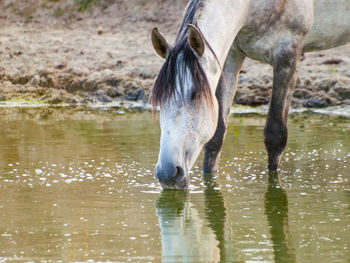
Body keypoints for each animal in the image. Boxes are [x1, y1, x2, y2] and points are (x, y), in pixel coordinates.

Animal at [150, 0, 350, 190]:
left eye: (195, 95)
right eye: (160, 100)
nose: (167, 173)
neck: (252, 7)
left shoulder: (287, 55)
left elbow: (275, 136)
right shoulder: (231, 54)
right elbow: (216, 138)